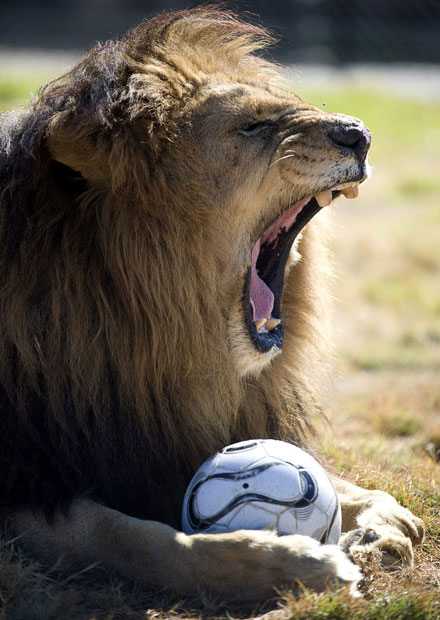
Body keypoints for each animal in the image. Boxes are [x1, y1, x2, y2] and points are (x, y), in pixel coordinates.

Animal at [0, 7, 422, 604]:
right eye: (250, 126)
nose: (359, 135)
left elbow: (354, 490)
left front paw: (378, 529)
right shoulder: (30, 480)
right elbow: (140, 542)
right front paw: (287, 563)